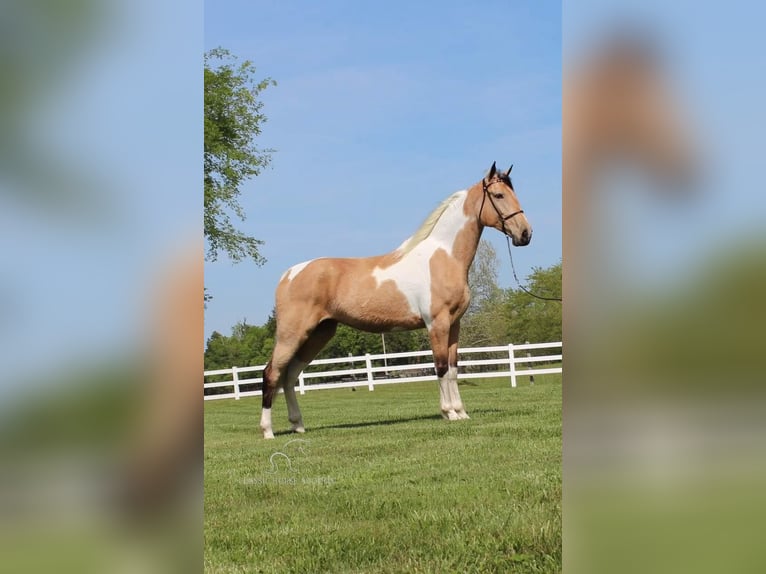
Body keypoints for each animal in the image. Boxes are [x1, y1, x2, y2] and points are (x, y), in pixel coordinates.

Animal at [258, 162, 536, 440]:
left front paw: (461, 412)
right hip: (292, 334)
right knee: (272, 373)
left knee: (290, 376)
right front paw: (449, 413)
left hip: (319, 334)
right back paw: (268, 431)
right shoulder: (437, 324)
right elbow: (440, 367)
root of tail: (289, 274)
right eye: (498, 195)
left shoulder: (455, 324)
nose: (525, 233)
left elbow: (454, 369)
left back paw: (298, 425)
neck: (443, 256)